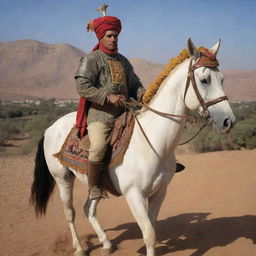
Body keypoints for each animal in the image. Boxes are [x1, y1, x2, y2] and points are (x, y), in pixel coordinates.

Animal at [30, 38, 236, 256]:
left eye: (222, 79)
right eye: (204, 79)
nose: (228, 121)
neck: (153, 144)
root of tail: (50, 129)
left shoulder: (159, 193)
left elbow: (152, 228)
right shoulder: (134, 195)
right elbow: (149, 234)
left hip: (96, 185)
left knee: (89, 209)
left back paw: (106, 244)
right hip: (63, 178)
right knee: (70, 212)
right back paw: (79, 248)